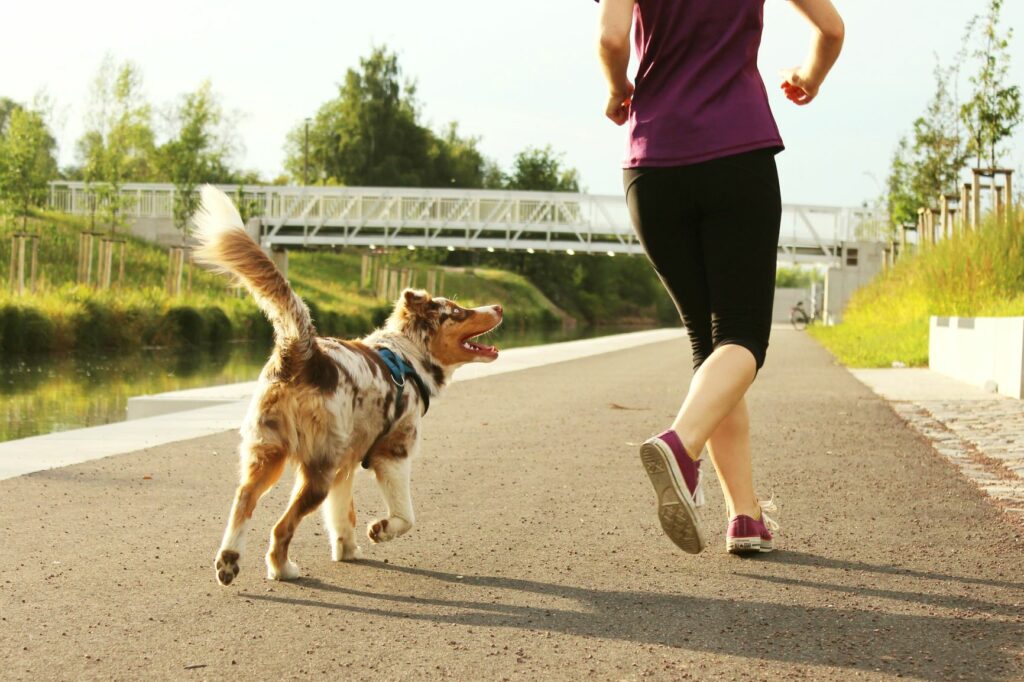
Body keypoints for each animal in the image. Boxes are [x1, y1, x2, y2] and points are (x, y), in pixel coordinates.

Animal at [192, 186, 503, 585]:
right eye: (459, 312)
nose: (498, 307)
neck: (409, 355)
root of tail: (302, 352)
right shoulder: (393, 452)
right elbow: (406, 516)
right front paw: (380, 530)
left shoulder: (347, 463)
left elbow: (342, 515)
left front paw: (347, 550)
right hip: (316, 468)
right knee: (281, 526)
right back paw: (282, 569)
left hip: (268, 451)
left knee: (244, 499)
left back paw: (228, 562)